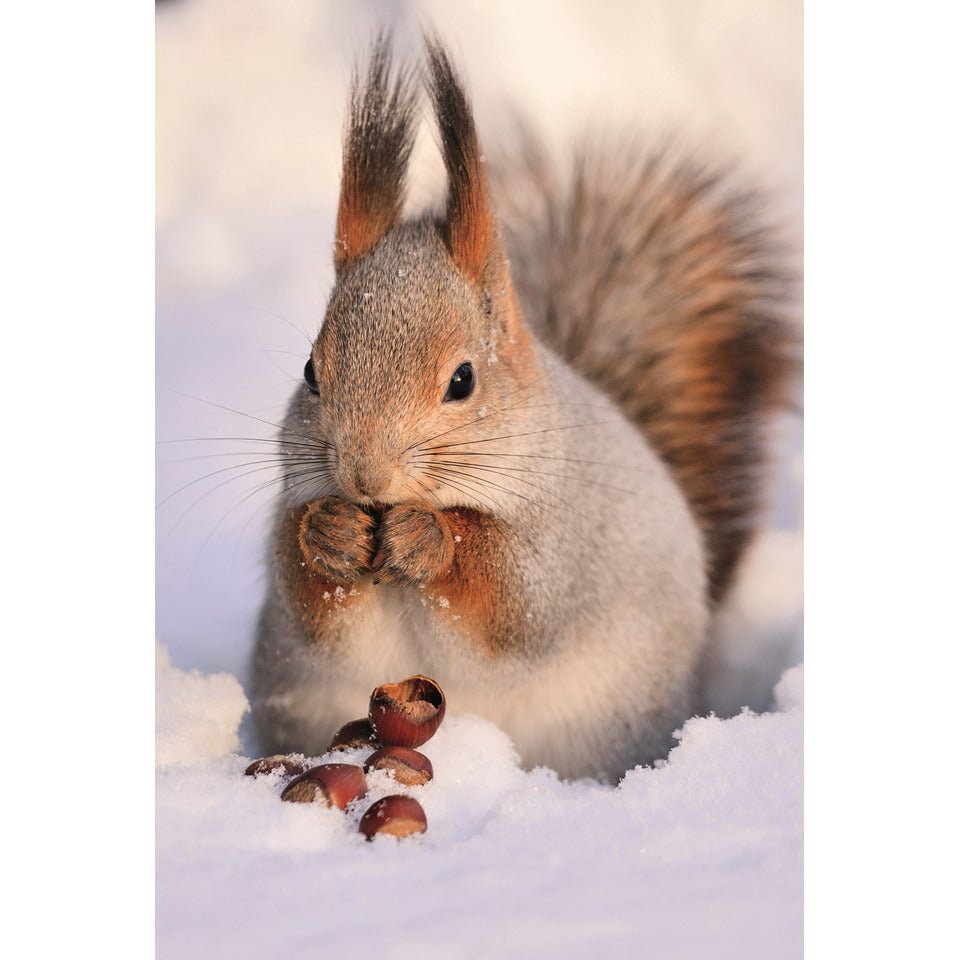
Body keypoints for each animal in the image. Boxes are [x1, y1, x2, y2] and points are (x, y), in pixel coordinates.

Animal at [249, 35, 797, 782]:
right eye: (310, 372)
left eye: (462, 381)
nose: (365, 476)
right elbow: (309, 604)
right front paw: (329, 532)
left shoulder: (563, 540)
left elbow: (511, 610)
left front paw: (431, 539)